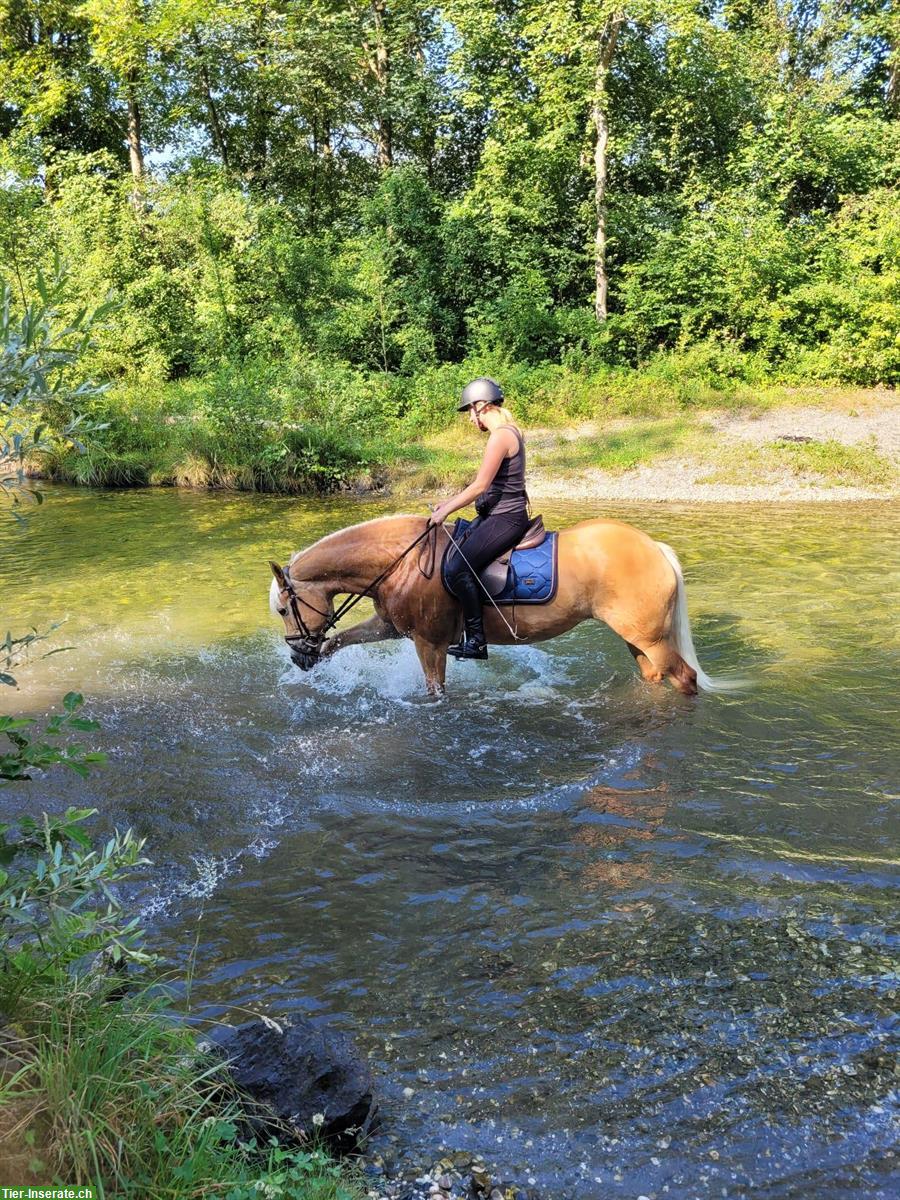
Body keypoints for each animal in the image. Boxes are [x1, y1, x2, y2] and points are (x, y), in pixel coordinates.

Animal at [267, 513, 734, 700]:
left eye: (284, 610)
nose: (297, 655)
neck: (401, 559)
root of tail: (655, 548)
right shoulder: (392, 626)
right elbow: (342, 640)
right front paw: (318, 660)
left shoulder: (430, 643)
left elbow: (436, 692)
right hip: (637, 637)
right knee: (655, 677)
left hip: (650, 637)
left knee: (685, 678)